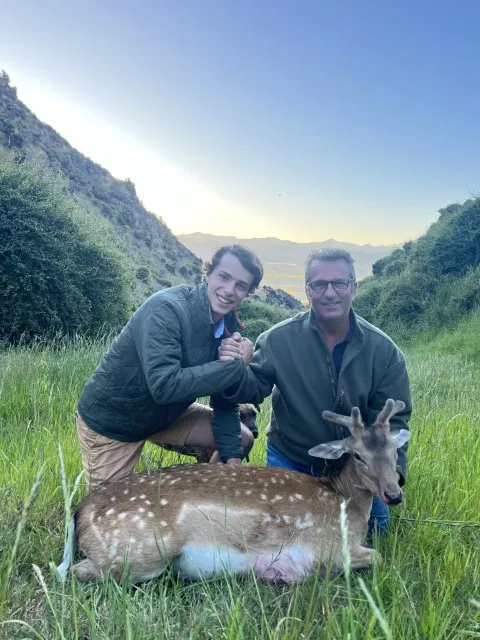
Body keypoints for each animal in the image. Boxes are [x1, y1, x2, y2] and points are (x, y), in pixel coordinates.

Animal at [56, 400, 408, 584]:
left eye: (394, 449)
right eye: (358, 455)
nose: (394, 494)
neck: (345, 501)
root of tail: (79, 511)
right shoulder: (332, 549)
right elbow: (379, 558)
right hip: (136, 553)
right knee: (72, 571)